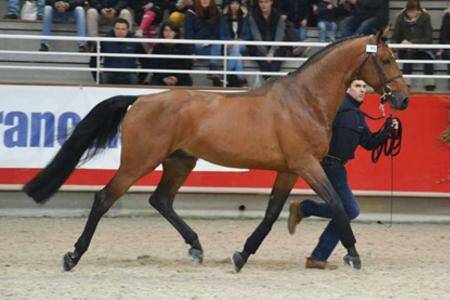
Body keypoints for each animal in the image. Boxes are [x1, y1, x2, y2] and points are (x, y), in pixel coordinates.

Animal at [25, 31, 412, 274]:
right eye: (387, 59)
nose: (403, 99)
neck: (303, 101)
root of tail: (140, 100)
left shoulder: (288, 170)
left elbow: (272, 214)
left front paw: (241, 254)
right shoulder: (306, 165)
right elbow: (336, 204)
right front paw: (354, 256)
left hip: (180, 162)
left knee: (160, 200)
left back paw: (196, 246)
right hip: (139, 162)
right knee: (104, 198)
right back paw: (73, 256)